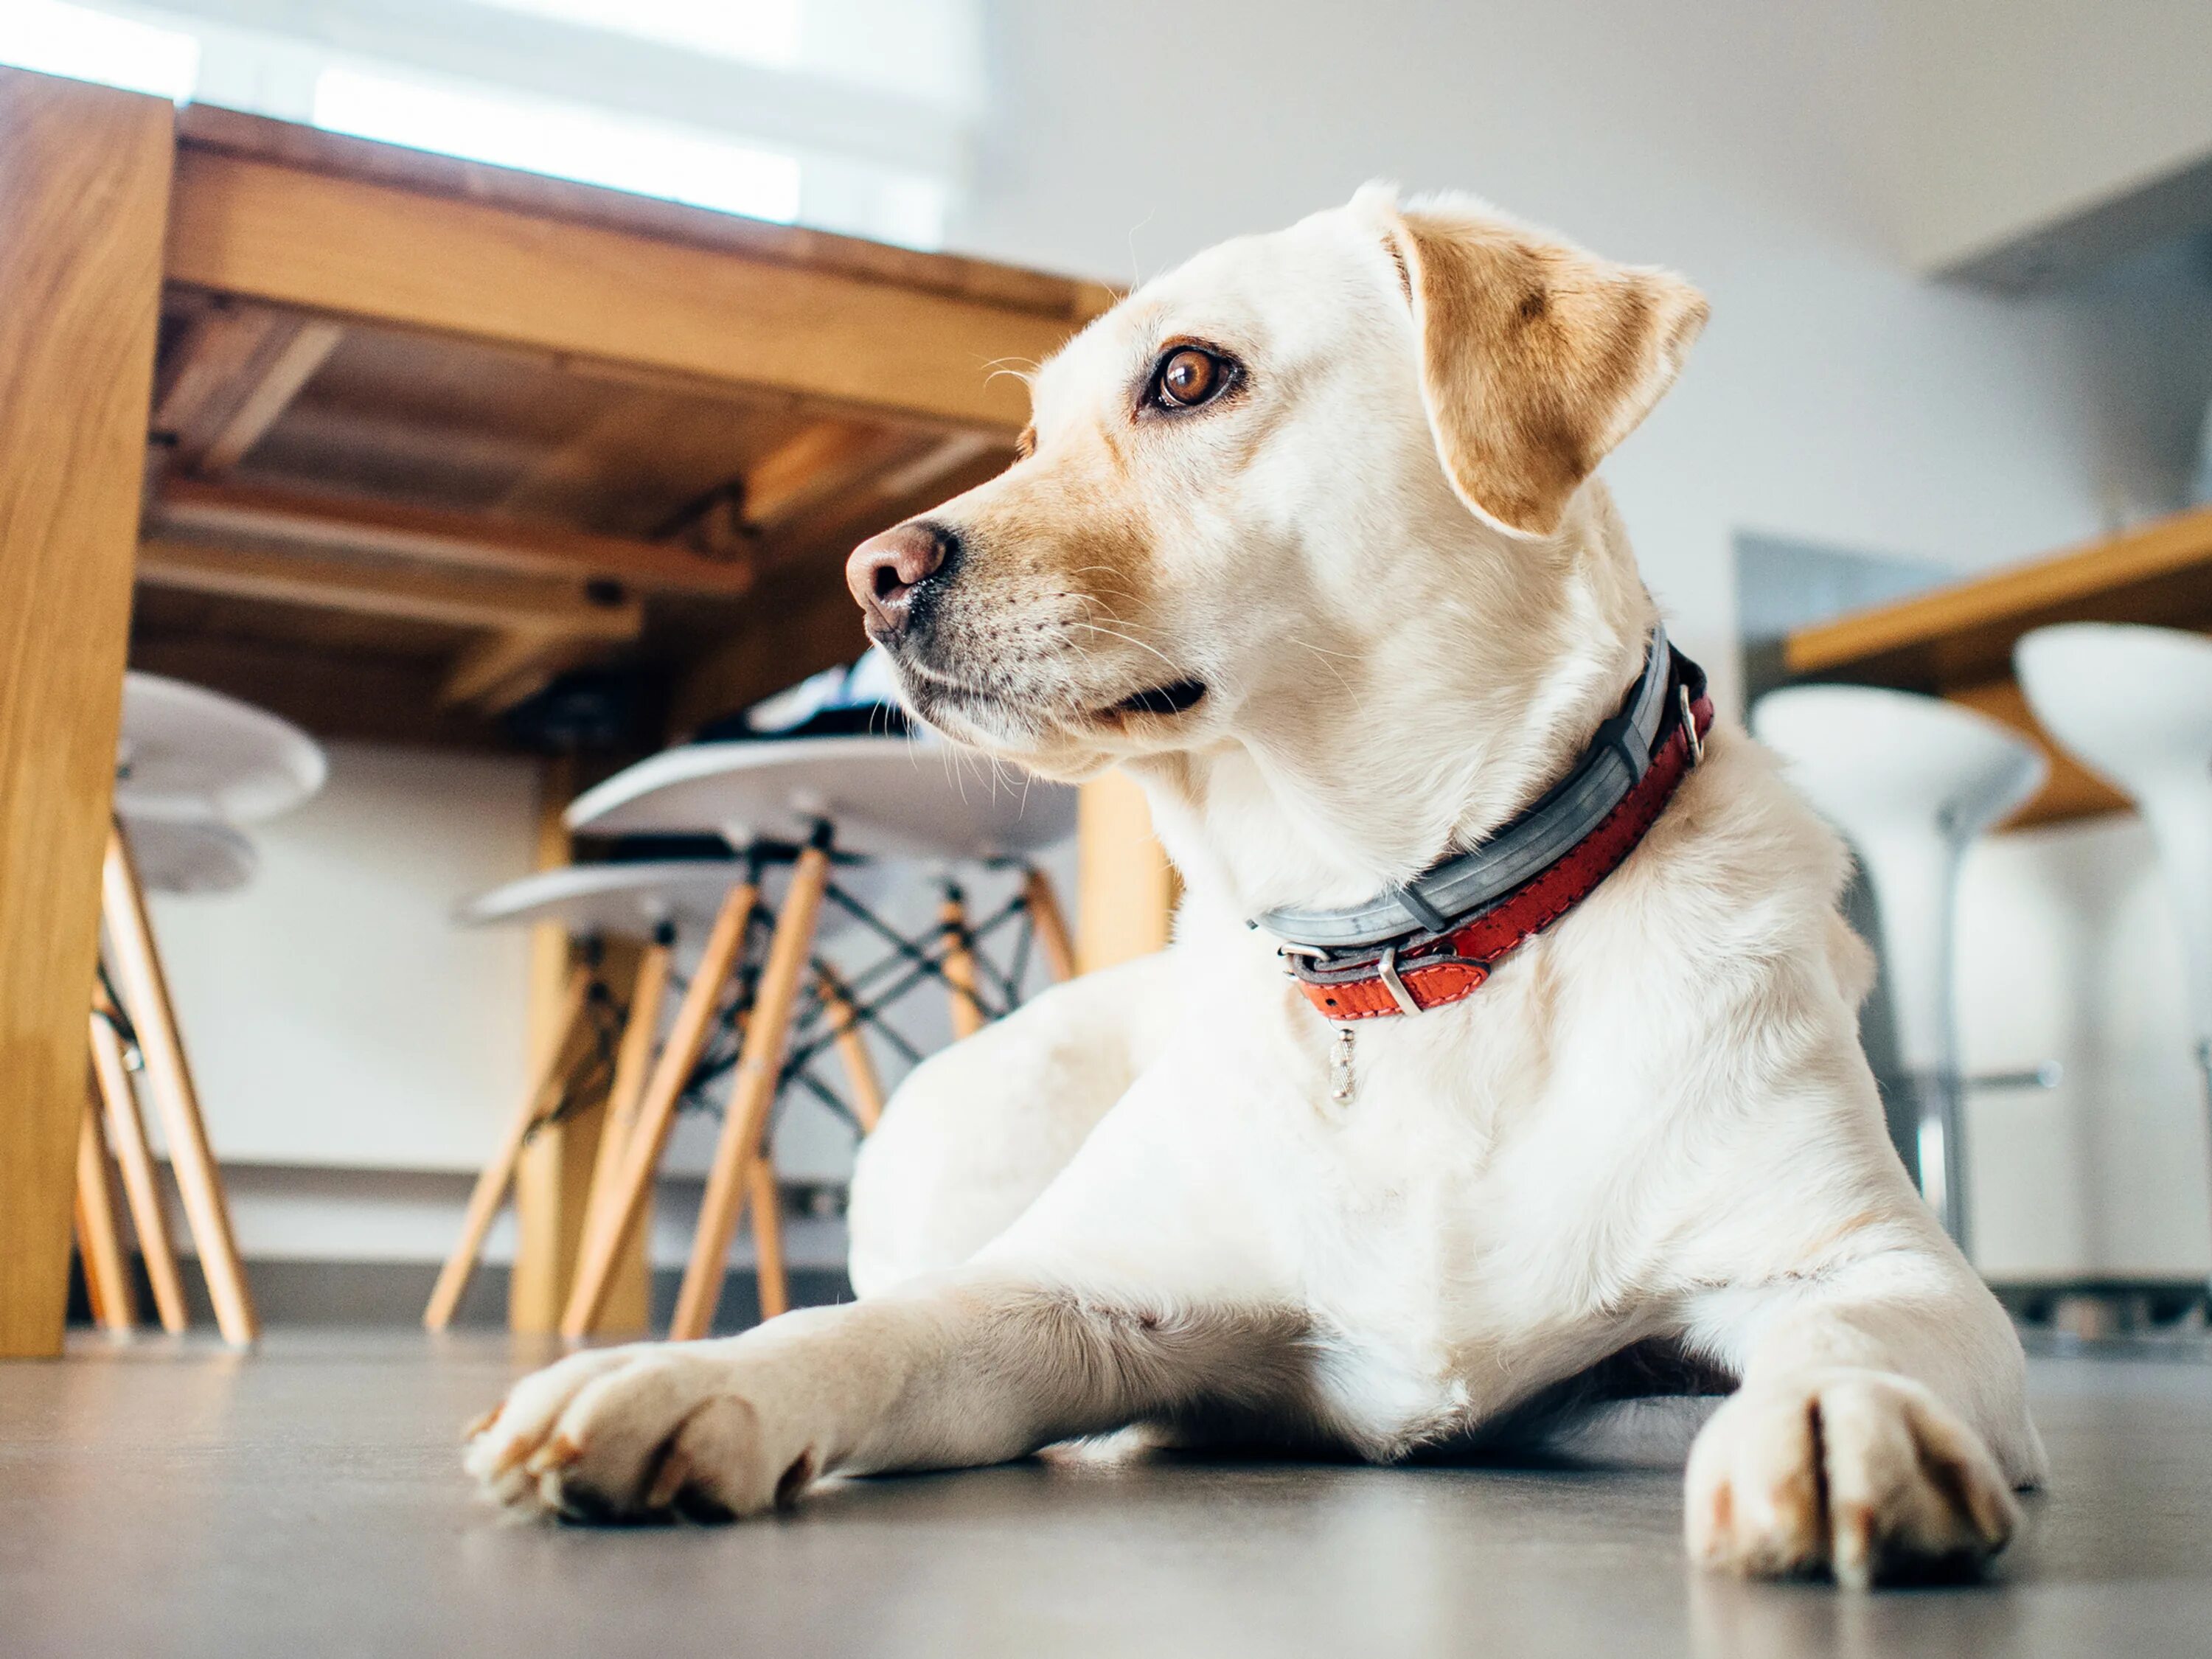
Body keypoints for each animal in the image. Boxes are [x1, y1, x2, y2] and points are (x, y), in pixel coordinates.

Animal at [476, 188, 2044, 1593]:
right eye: (1032, 436)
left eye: (1189, 375)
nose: (872, 573)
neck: (1408, 946)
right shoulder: (1048, 1295)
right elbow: (868, 1333)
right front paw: (680, 1383)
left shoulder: (1879, 1265)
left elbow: (1852, 1334)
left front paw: (1836, 1419)